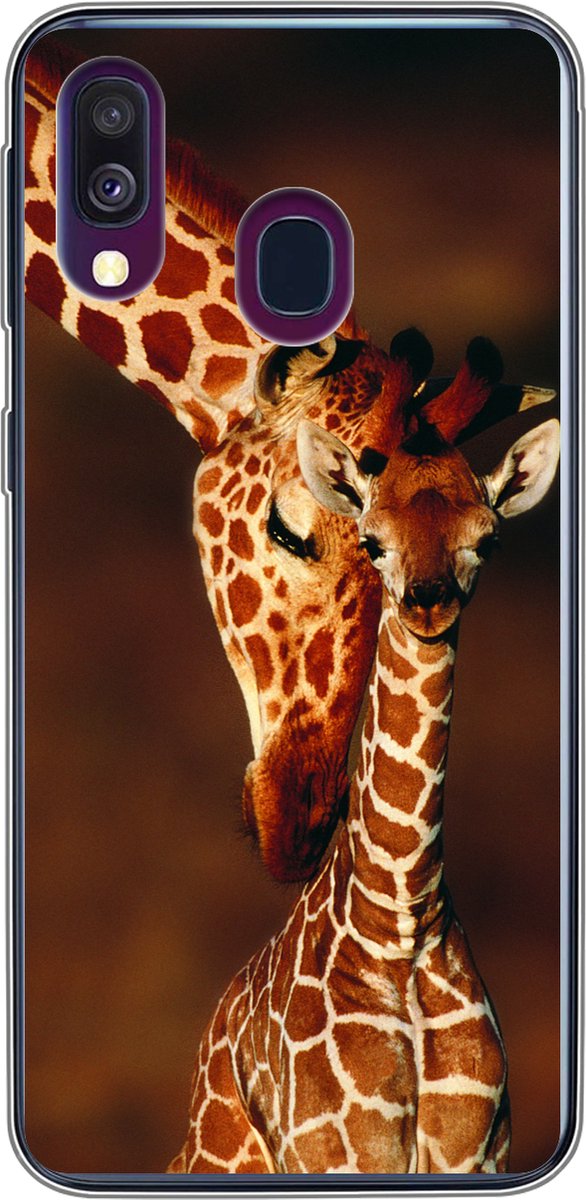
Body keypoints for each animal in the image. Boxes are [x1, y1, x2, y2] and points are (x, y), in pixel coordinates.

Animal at [167, 408, 560, 1174]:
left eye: (488, 539)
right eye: (373, 541)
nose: (428, 602)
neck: (401, 921)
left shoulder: (479, 1153)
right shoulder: (337, 1153)